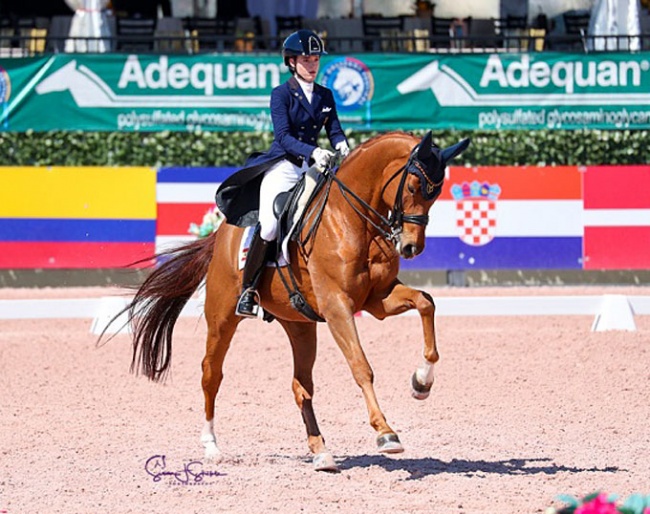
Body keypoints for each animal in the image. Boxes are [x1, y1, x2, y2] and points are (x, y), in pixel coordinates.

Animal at [115, 130, 466, 470]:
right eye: (414, 186)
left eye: (436, 193)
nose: (410, 247)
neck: (351, 219)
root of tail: (223, 232)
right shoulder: (337, 306)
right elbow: (361, 366)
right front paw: (386, 434)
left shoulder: (377, 300)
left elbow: (426, 303)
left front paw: (421, 383)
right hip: (223, 316)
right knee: (211, 374)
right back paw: (211, 446)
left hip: (300, 325)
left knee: (301, 386)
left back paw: (321, 452)